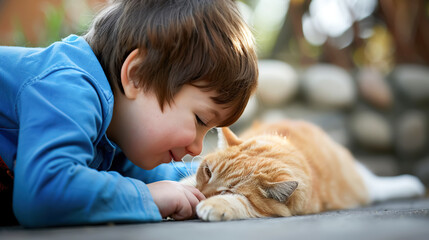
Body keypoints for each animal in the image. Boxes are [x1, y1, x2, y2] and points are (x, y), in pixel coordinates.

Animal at [183, 120, 424, 221]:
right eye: (207, 171)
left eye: (227, 192)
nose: (201, 195)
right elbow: (185, 182)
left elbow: (241, 204)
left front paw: (214, 205)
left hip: (359, 186)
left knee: (376, 185)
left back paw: (411, 183)